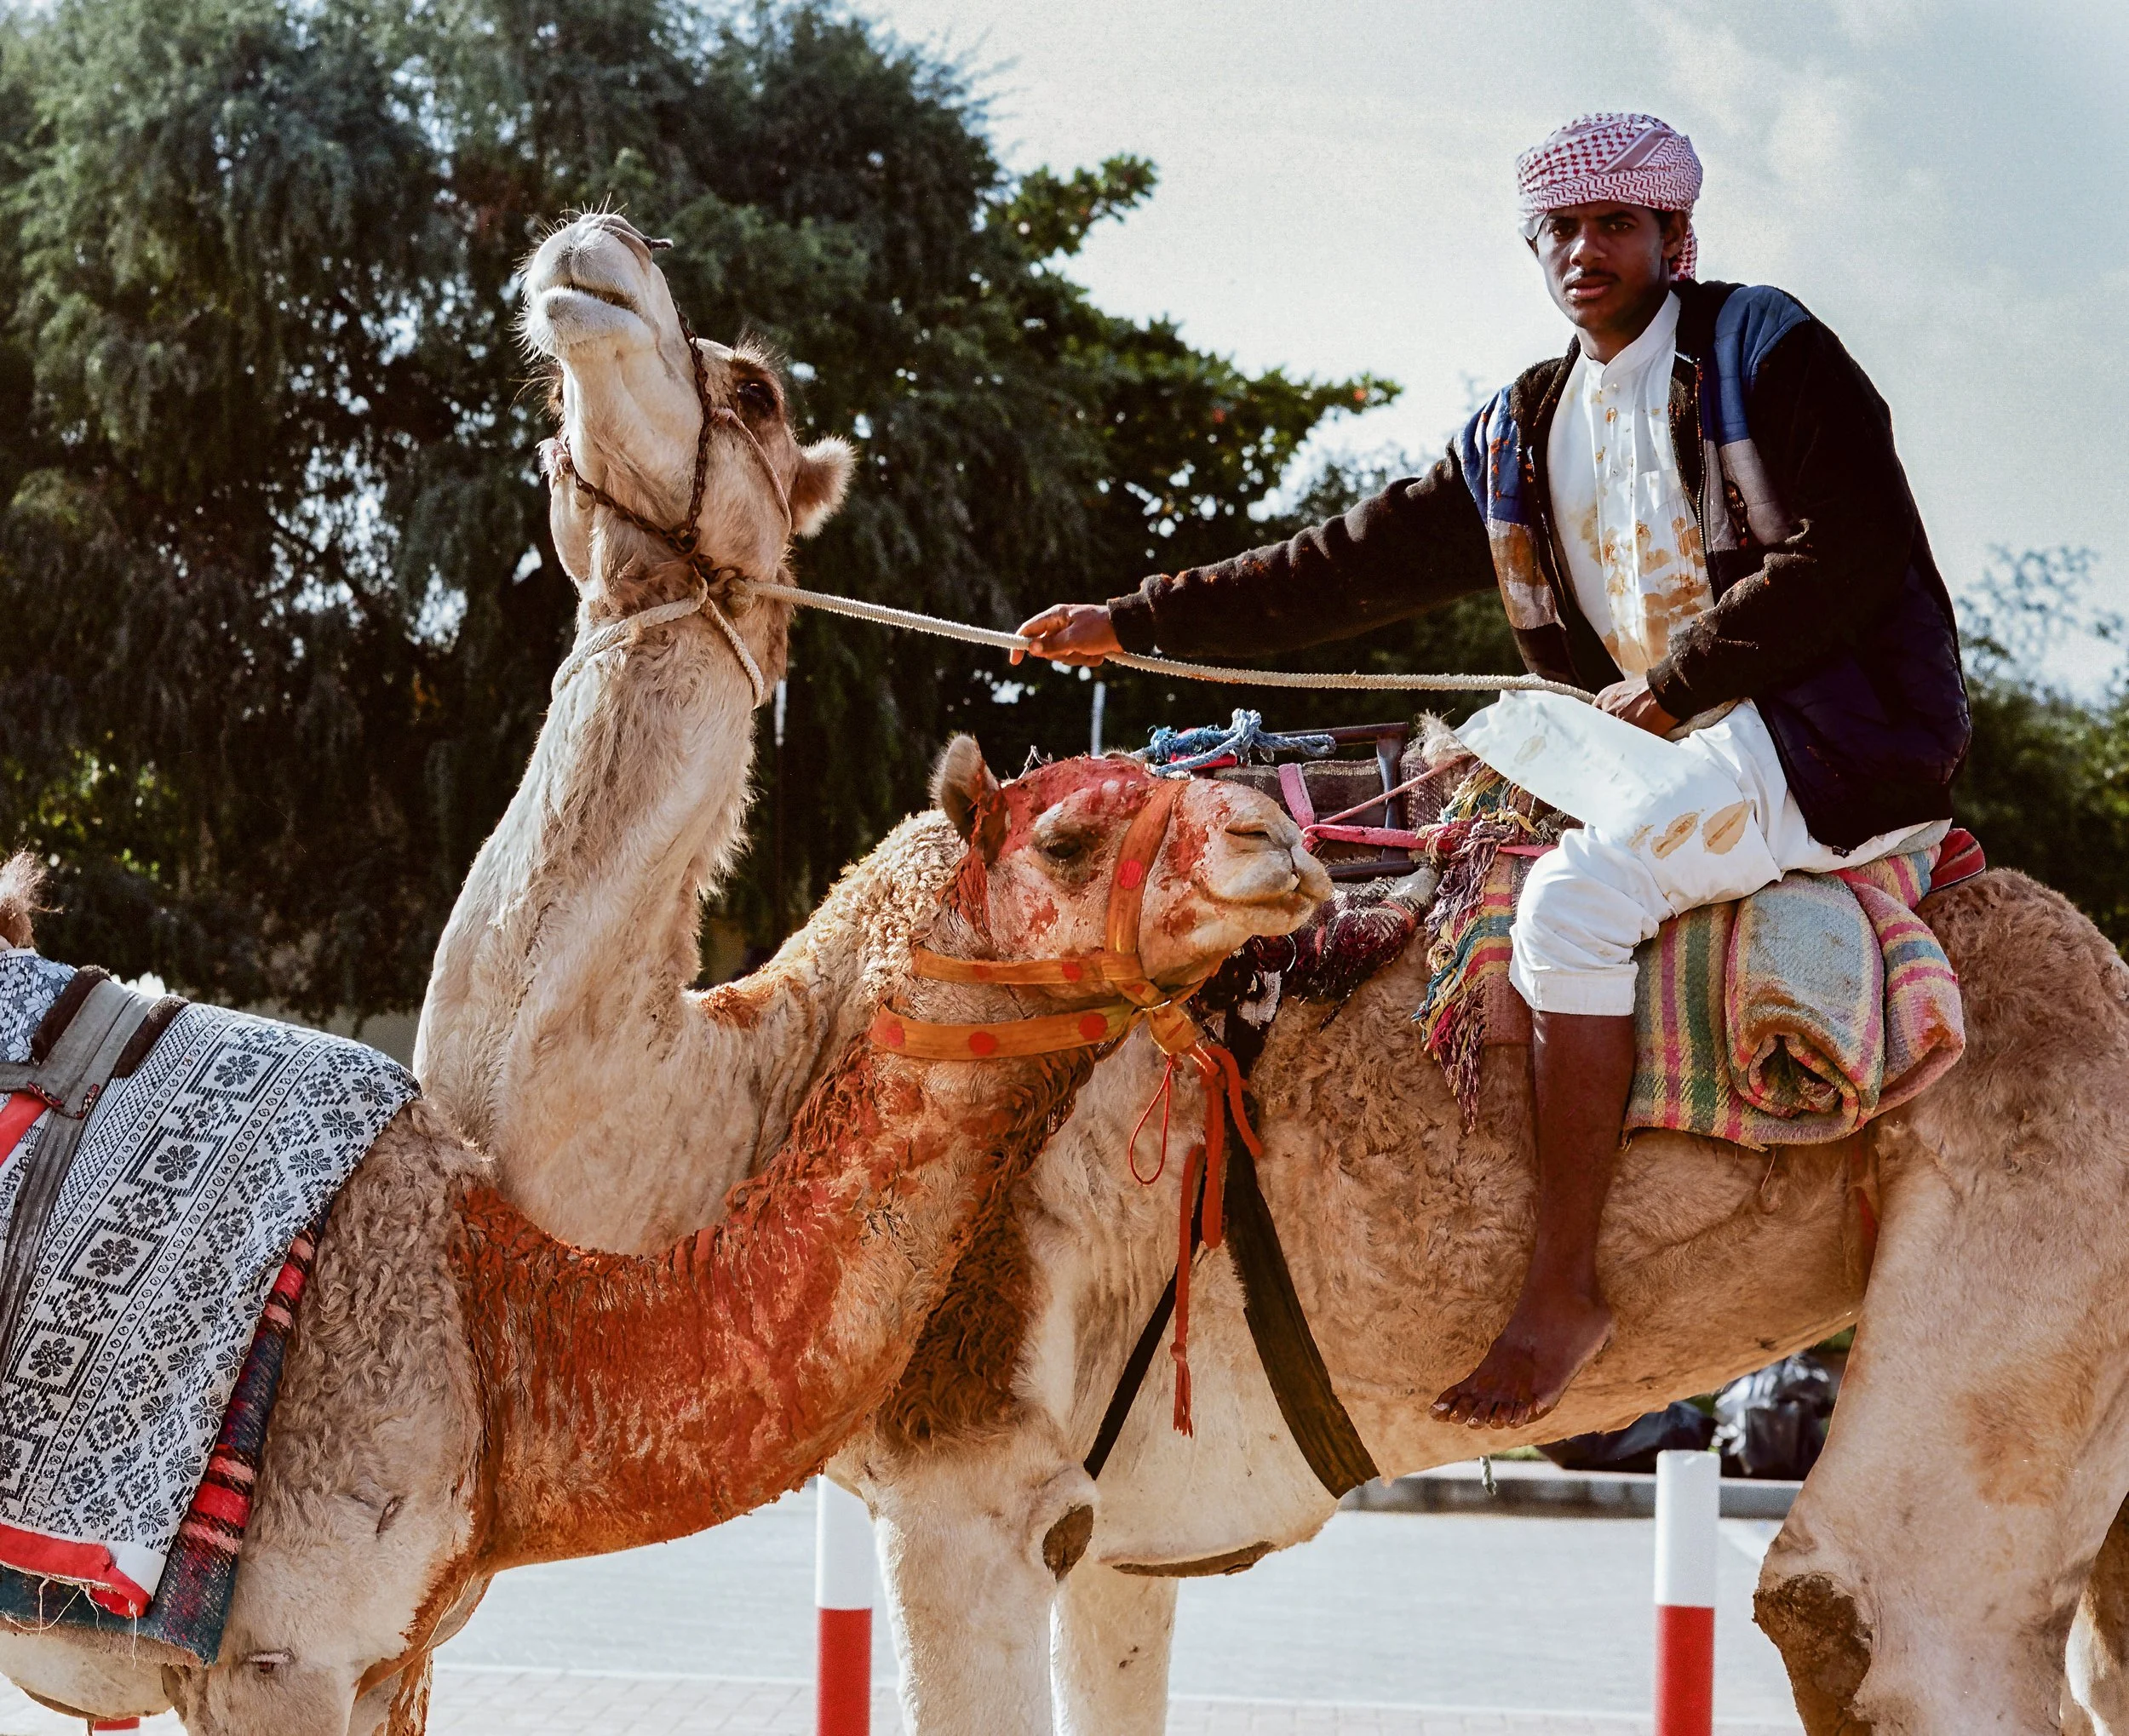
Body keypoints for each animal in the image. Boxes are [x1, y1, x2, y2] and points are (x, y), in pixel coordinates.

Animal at [421, 211, 2129, 1733]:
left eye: (762, 388)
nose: (599, 249)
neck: (762, 1084)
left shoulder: (971, 1488)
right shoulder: (1115, 1533)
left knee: (1870, 1612)